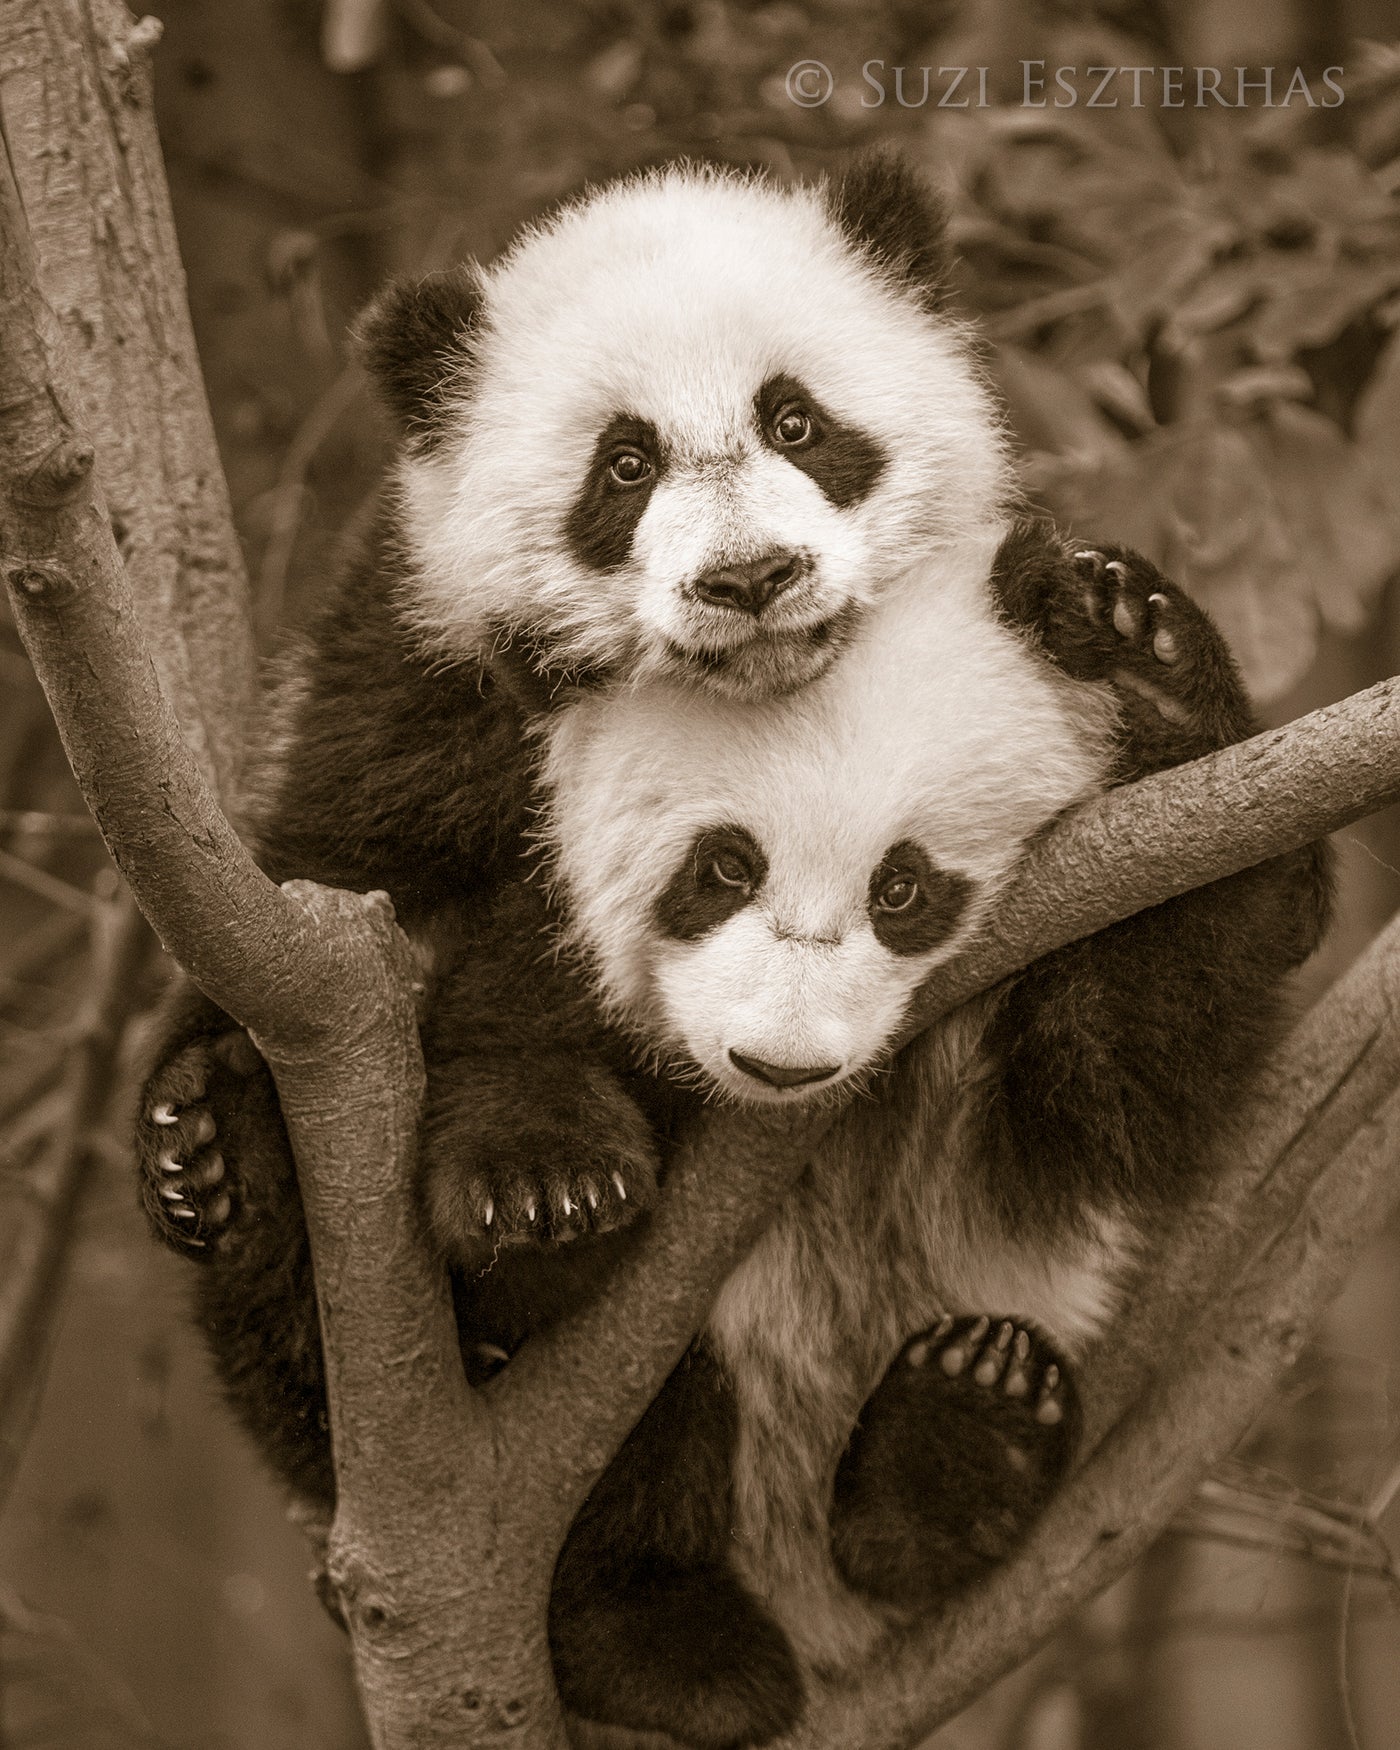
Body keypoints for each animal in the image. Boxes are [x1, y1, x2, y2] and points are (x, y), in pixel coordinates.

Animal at [134, 154, 1331, 1749]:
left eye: (797, 421)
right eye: (622, 467)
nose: (751, 577)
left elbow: (1124, 1076)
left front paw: (1136, 637)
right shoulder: (410, 683)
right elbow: (364, 892)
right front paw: (539, 1166)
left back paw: (953, 1447)